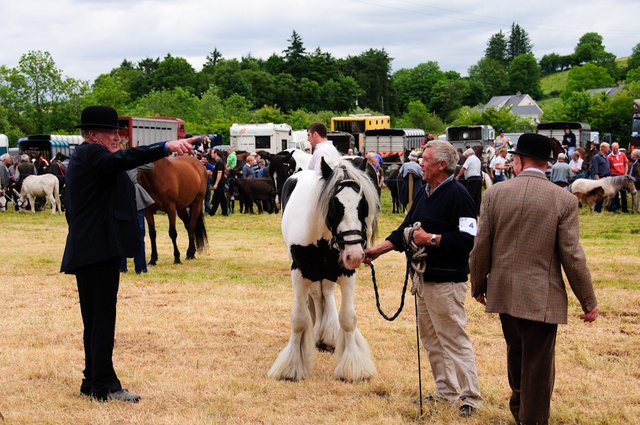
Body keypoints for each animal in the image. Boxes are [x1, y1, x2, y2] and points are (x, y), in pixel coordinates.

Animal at [268, 157, 379, 382]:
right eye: (334, 206)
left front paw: (353, 367)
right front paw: (291, 367)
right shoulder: (298, 272)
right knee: (316, 296)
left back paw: (327, 335)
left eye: (363, 205)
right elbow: (299, 319)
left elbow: (348, 318)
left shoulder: (346, 273)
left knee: (325, 295)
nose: (355, 255)